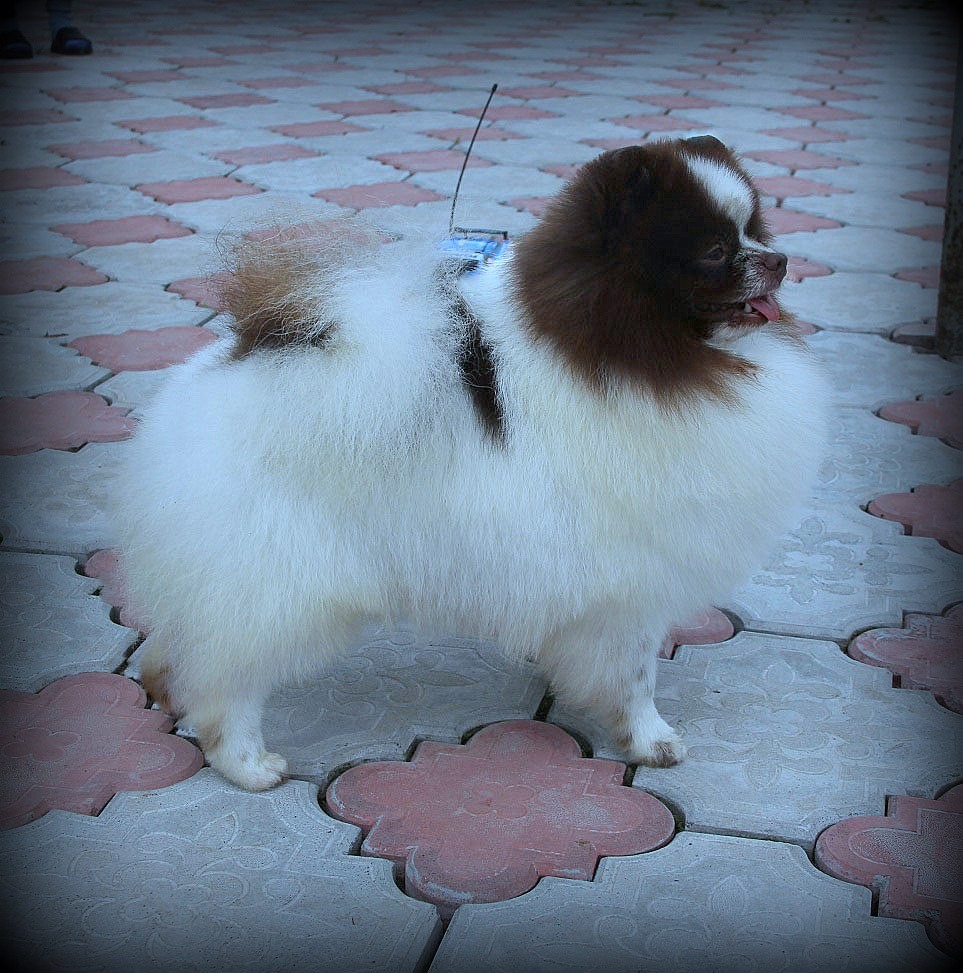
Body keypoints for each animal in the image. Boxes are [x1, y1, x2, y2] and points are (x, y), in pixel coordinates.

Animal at [116, 137, 828, 788]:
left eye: (755, 229)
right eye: (714, 252)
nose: (780, 260)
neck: (635, 352)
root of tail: (218, 377)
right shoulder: (633, 585)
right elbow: (635, 678)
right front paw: (651, 741)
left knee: (184, 637)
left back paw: (163, 689)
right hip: (282, 580)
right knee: (227, 681)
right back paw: (245, 763)